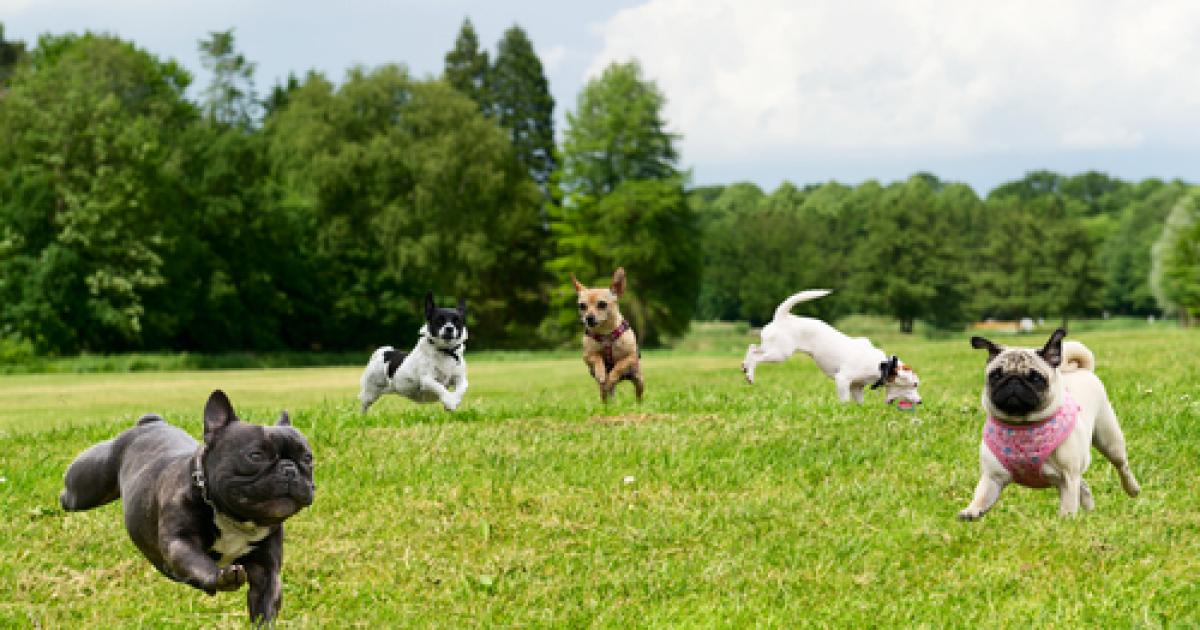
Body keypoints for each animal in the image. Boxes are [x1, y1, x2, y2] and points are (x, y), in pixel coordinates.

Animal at [955, 326, 1142, 518]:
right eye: (996, 375)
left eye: (1036, 378)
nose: (1014, 380)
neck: (1021, 424)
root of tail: (1082, 371)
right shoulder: (992, 477)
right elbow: (982, 496)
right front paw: (972, 510)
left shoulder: (1068, 477)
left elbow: (1068, 505)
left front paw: (1066, 521)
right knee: (1084, 487)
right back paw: (1089, 512)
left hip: (1109, 441)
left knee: (1121, 465)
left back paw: (1132, 489)